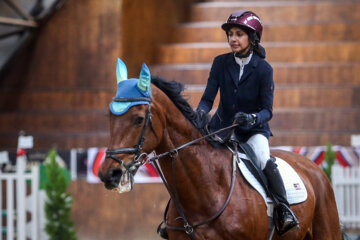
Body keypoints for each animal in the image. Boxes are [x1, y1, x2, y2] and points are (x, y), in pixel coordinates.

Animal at [97, 59, 340, 238]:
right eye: (109, 116)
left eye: (139, 119)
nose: (109, 174)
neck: (207, 188)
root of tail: (312, 166)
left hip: (327, 231)